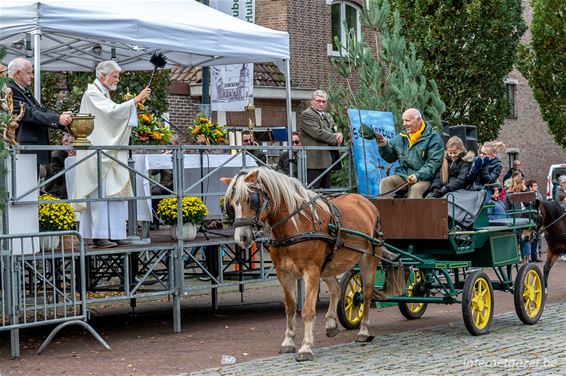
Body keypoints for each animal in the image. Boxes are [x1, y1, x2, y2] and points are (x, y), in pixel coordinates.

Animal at [222, 167, 404, 362]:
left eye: (251, 199)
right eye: (231, 204)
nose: (241, 238)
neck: (295, 225)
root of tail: (365, 202)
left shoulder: (310, 271)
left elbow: (308, 310)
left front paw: (305, 347)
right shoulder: (284, 274)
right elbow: (290, 307)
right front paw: (288, 342)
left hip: (367, 260)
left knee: (367, 294)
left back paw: (363, 331)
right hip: (328, 266)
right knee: (336, 289)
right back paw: (331, 325)